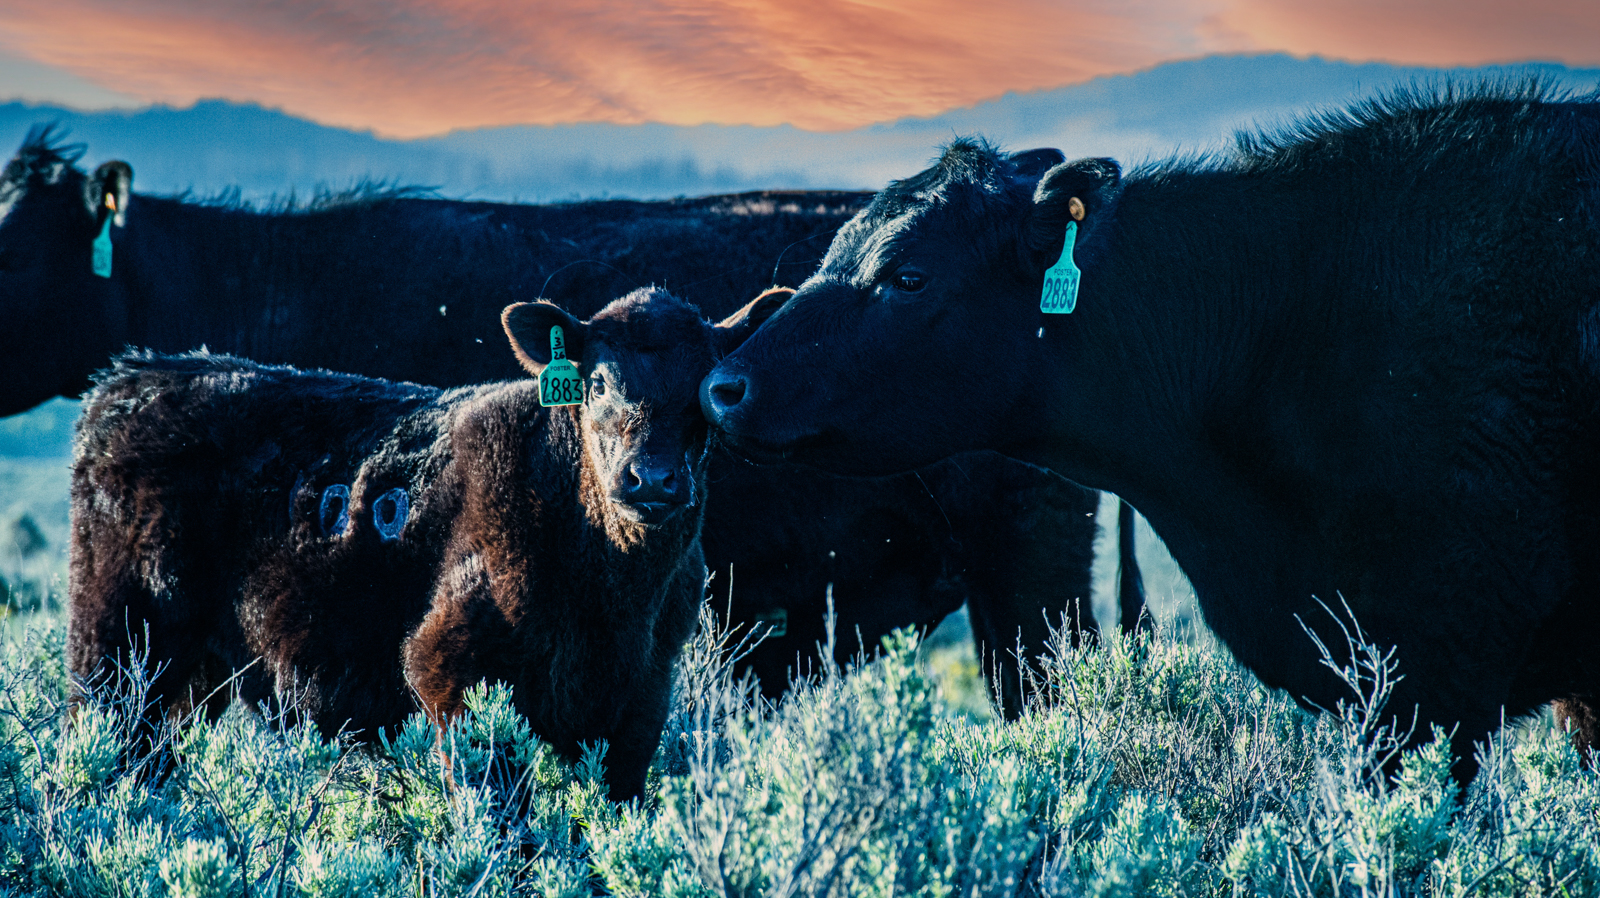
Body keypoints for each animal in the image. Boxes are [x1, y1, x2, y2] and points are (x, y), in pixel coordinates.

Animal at [68, 287, 771, 800]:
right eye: (596, 382)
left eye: (705, 391)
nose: (650, 478)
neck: (614, 596)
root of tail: (131, 378)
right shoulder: (449, 671)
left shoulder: (641, 702)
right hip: (114, 648)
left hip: (190, 676)